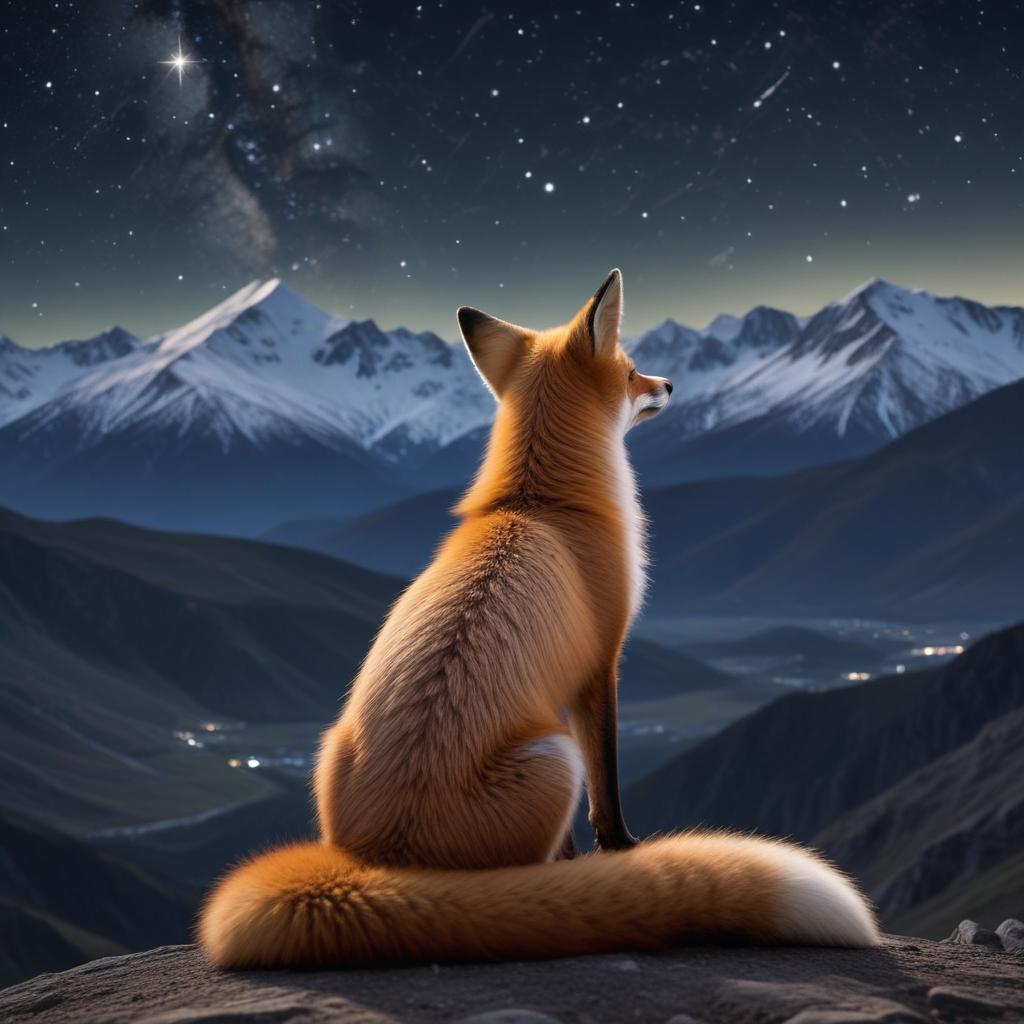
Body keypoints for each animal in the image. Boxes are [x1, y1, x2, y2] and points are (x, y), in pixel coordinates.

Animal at [198, 269, 879, 968]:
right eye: (631, 371)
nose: (669, 384)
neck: (536, 502)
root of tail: (388, 861)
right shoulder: (601, 665)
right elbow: (609, 791)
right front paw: (622, 850)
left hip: (332, 747)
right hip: (556, 759)